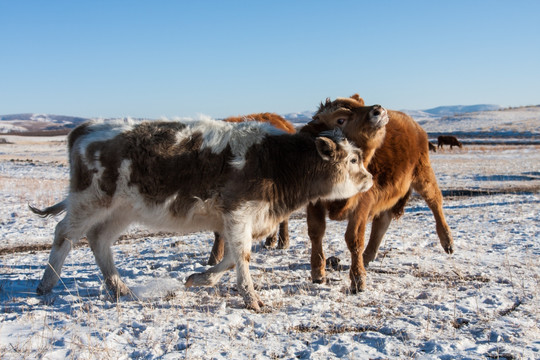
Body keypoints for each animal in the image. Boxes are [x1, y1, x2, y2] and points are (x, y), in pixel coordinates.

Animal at [29, 117, 374, 310]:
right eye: (353, 160)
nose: (370, 178)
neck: (278, 162)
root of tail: (85, 128)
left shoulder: (244, 219)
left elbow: (232, 257)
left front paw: (199, 279)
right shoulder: (238, 212)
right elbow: (242, 255)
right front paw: (252, 300)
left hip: (123, 210)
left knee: (98, 239)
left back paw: (119, 287)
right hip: (91, 200)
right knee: (64, 234)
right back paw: (46, 285)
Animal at [302, 94, 454, 294]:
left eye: (359, 105)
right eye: (340, 119)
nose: (378, 110)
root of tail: (413, 123)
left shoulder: (361, 204)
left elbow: (354, 239)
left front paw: (358, 280)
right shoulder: (315, 203)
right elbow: (316, 232)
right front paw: (318, 273)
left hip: (423, 174)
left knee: (435, 202)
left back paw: (448, 242)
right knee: (382, 222)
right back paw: (367, 257)